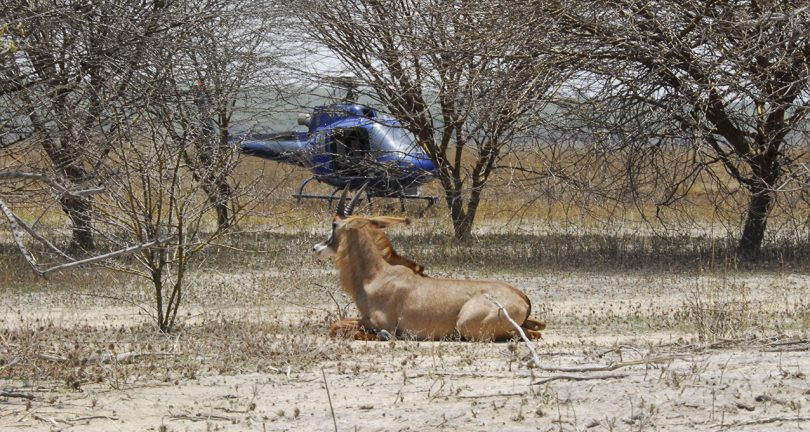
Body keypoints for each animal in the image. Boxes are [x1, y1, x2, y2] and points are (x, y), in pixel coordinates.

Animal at [310, 185, 544, 340]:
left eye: (334, 224)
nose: (316, 249)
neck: (376, 275)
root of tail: (521, 296)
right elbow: (337, 324)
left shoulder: (379, 323)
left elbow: (337, 326)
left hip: (466, 325)